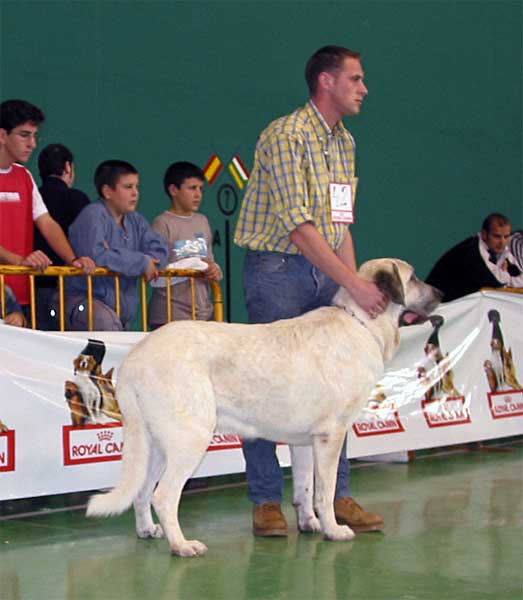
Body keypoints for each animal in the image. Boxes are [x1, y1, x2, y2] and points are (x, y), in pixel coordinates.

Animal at [89, 258, 442, 556]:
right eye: (414, 278)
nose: (440, 293)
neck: (361, 323)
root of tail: (136, 356)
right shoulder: (331, 436)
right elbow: (325, 492)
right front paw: (334, 529)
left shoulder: (306, 442)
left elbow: (305, 488)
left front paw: (310, 524)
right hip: (190, 440)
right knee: (163, 496)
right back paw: (182, 545)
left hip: (158, 445)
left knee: (141, 491)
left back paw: (148, 530)